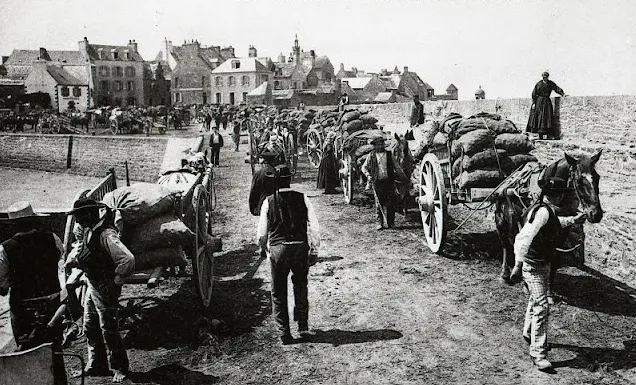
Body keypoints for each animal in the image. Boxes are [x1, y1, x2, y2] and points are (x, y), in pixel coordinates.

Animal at [494, 149, 604, 292]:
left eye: (597, 177)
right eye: (579, 180)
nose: (596, 214)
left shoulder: (561, 233)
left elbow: (555, 260)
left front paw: (549, 290)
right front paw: (526, 284)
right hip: (501, 221)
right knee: (505, 245)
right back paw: (505, 274)